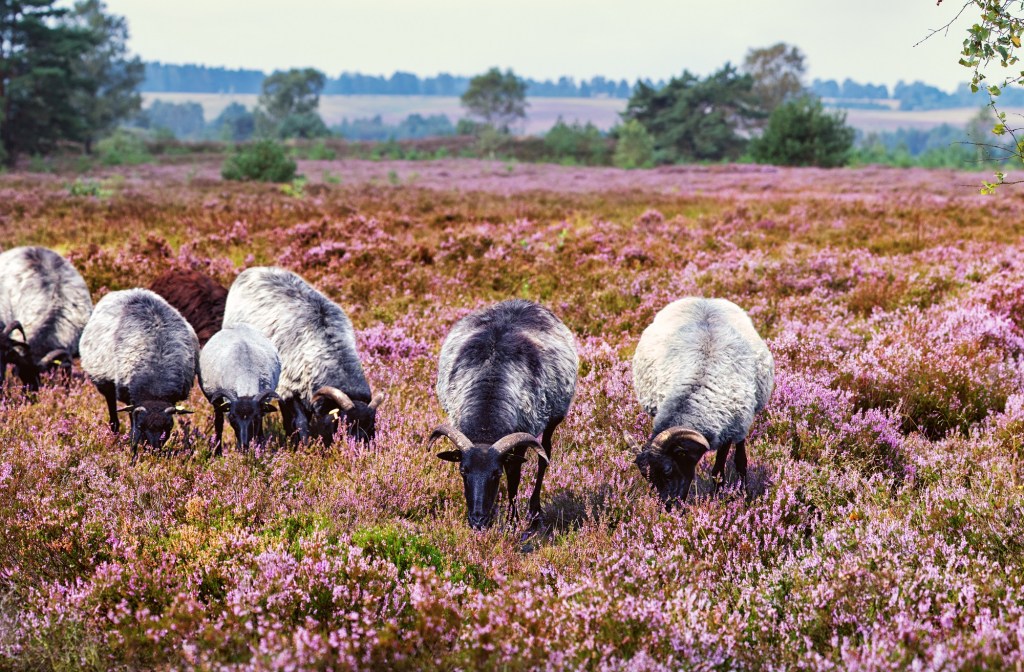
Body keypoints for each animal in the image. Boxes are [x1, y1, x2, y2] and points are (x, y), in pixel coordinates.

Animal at [221, 268, 385, 446]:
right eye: (345, 423)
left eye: (371, 425)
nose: (359, 448)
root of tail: (253, 270)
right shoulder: (290, 391)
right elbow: (301, 423)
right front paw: (304, 447)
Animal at [428, 299, 581, 528]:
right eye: (463, 470)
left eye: (496, 473)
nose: (478, 521)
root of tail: (521, 301)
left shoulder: (523, 434)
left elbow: (514, 475)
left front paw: (512, 521)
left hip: (554, 417)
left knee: (544, 455)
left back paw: (535, 511)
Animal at [626, 297, 770, 510]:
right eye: (646, 476)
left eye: (668, 470)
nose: (667, 508)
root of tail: (706, 300)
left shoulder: (728, 429)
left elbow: (719, 471)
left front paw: (720, 498)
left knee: (740, 456)